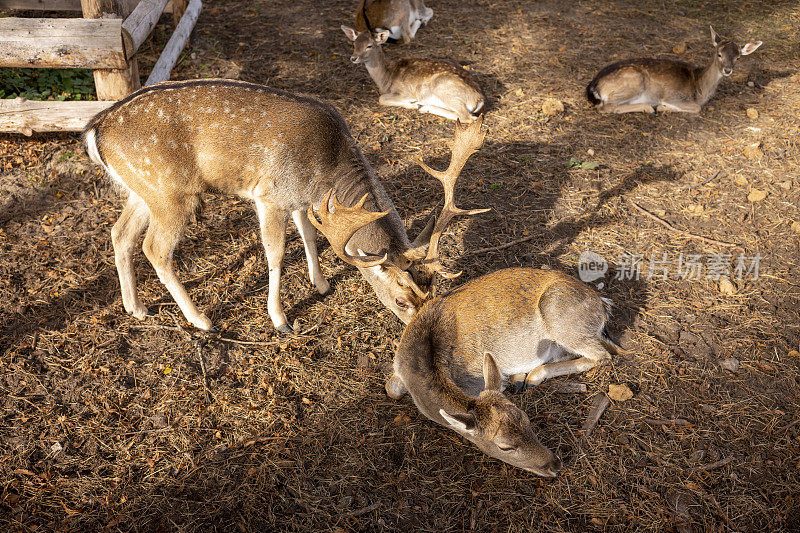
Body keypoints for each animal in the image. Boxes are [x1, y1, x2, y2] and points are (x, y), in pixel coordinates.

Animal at [81, 79, 488, 332]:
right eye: (402, 300)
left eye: (433, 289)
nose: (419, 326)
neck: (326, 169)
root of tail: (94, 129)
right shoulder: (269, 193)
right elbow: (275, 253)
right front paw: (280, 319)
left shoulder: (300, 198)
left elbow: (308, 234)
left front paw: (320, 284)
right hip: (171, 192)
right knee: (155, 248)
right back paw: (201, 321)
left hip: (143, 190)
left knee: (119, 233)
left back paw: (136, 307)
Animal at [340, 26, 484, 124]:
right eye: (354, 44)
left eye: (369, 46)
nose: (353, 58)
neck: (385, 78)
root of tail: (479, 99)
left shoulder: (404, 91)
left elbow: (381, 98)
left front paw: (412, 103)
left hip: (444, 88)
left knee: (467, 117)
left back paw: (422, 106)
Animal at [384, 268, 620, 476]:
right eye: (505, 447)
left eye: (527, 420)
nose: (555, 465)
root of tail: (603, 304)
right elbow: (390, 389)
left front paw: (514, 378)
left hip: (563, 320)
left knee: (602, 355)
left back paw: (531, 376)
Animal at [588, 26, 764, 113]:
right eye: (719, 54)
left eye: (738, 58)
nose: (727, 70)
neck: (699, 88)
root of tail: (594, 87)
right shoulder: (674, 96)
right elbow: (696, 108)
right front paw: (662, 107)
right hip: (634, 82)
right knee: (605, 107)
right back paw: (648, 108)